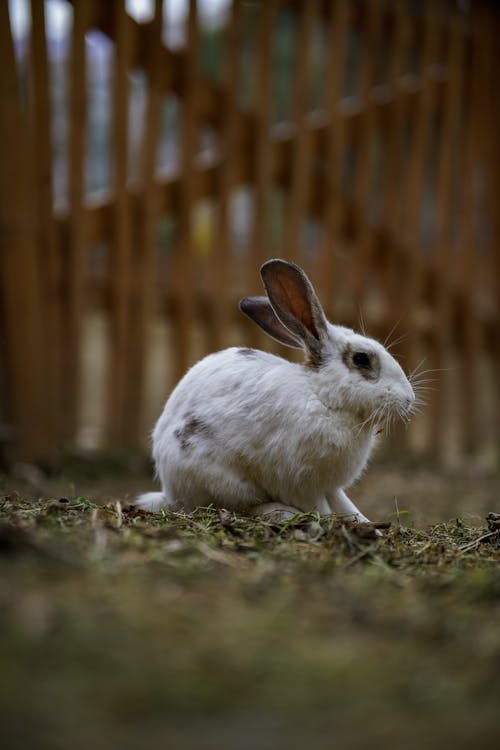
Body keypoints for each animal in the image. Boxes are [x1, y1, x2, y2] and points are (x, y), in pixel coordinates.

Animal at [136, 262, 414, 524]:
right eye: (361, 359)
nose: (409, 400)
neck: (323, 399)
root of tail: (169, 491)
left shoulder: (330, 486)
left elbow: (345, 504)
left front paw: (366, 522)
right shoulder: (301, 483)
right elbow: (320, 507)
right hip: (221, 482)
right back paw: (280, 513)